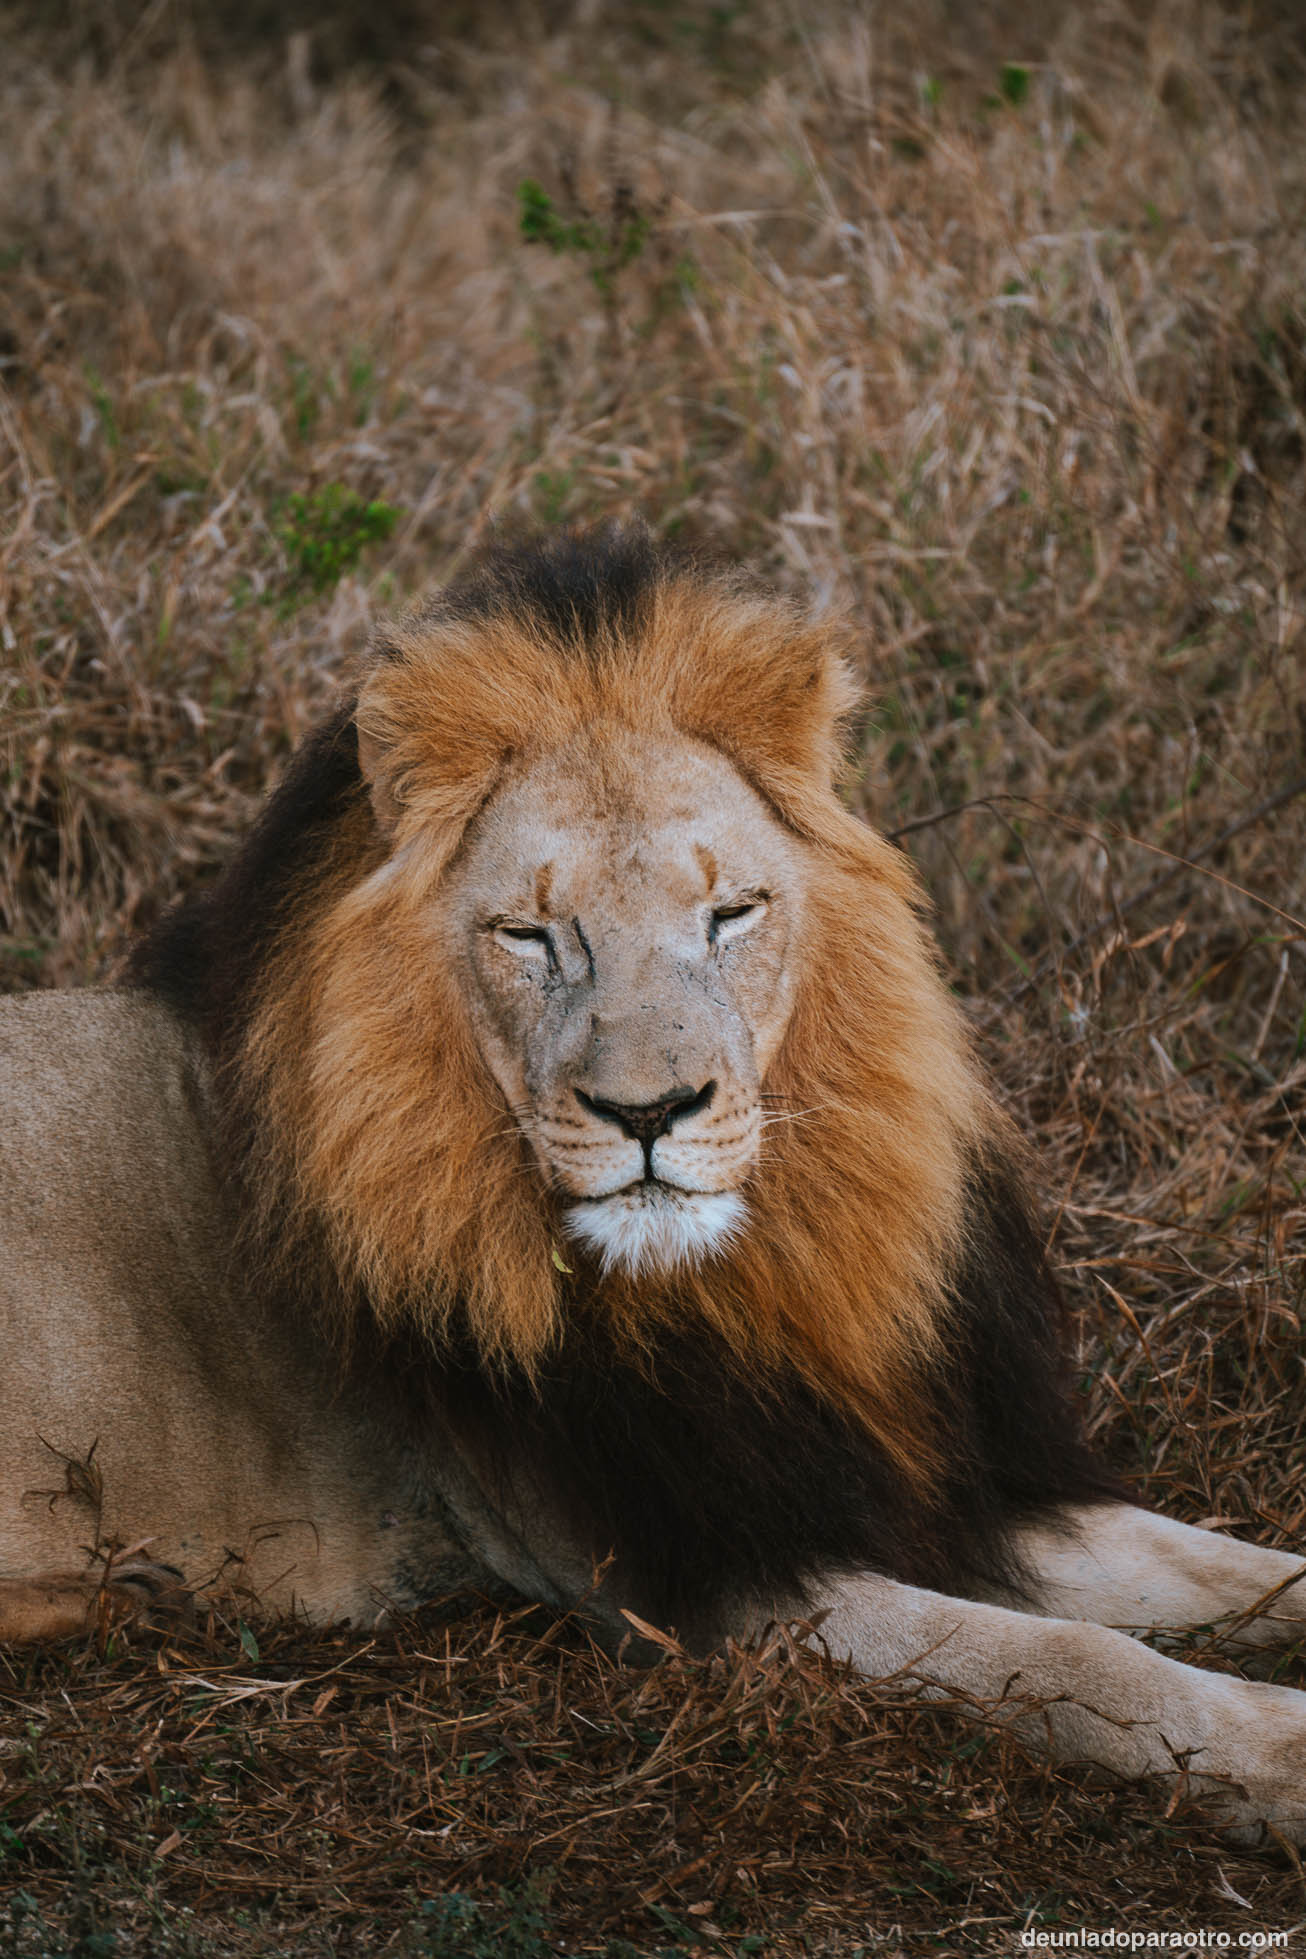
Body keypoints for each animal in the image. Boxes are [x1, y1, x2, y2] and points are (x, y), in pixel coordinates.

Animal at [2, 521, 1306, 1833]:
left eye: (731, 913)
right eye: (529, 937)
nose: (646, 1112)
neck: (748, 1281)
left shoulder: (952, 1481)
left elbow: (1229, 1565)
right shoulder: (704, 1584)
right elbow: (1079, 1663)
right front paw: (1279, 1756)